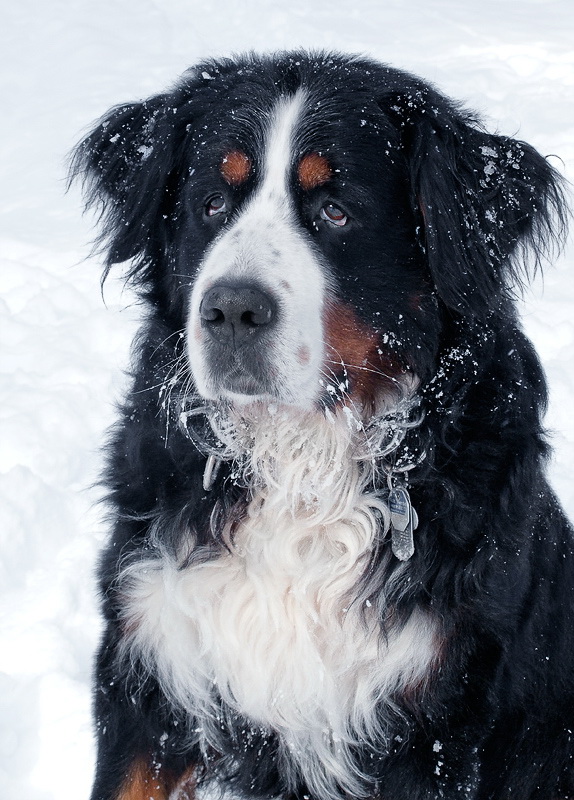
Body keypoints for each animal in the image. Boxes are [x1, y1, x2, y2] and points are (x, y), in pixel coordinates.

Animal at [72, 51, 574, 800]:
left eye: (335, 211)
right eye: (211, 204)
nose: (232, 310)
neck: (300, 462)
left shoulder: (427, 724)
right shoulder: (151, 665)